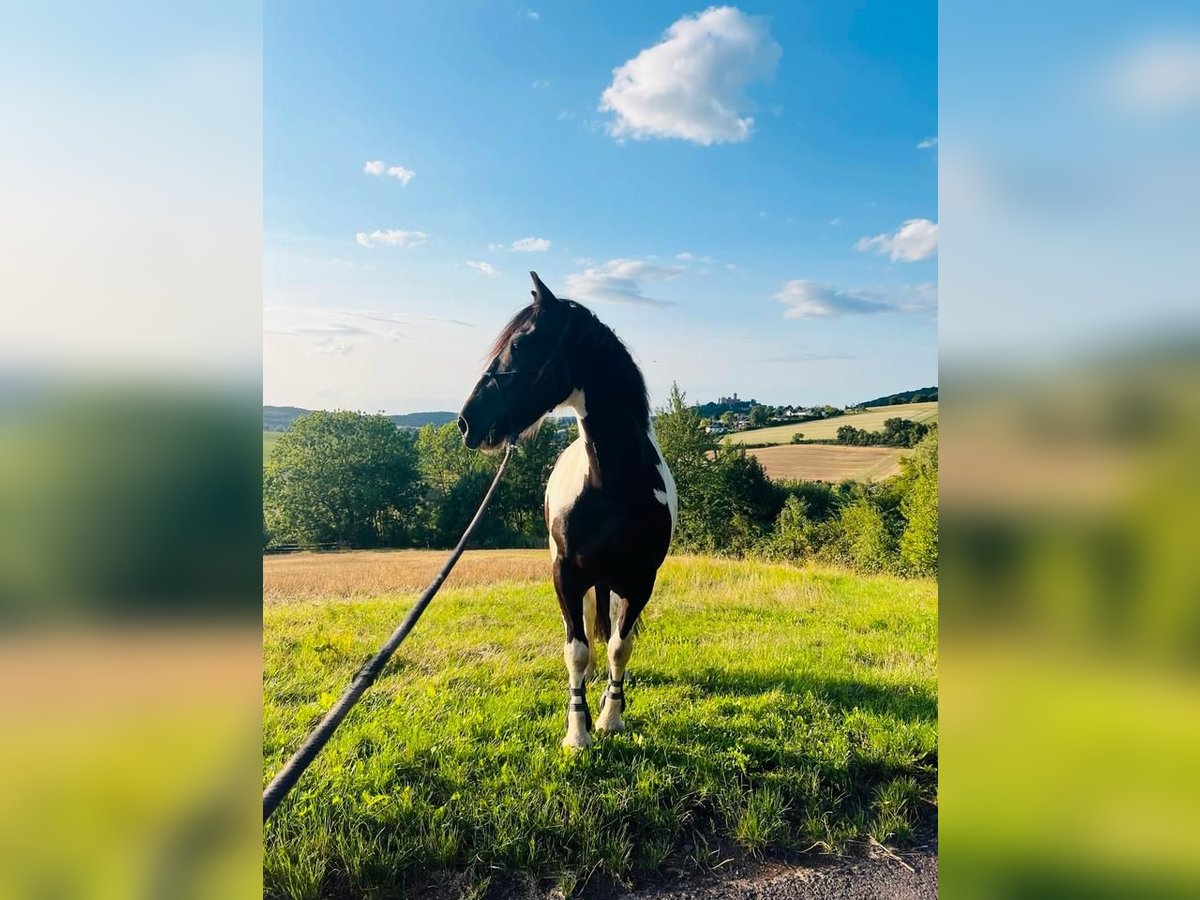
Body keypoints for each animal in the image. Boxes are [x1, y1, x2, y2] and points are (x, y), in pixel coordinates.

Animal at [458, 271, 677, 749]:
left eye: (521, 343)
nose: (467, 422)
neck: (611, 485)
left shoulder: (641, 581)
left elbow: (620, 645)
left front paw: (611, 717)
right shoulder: (565, 575)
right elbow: (574, 649)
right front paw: (577, 732)